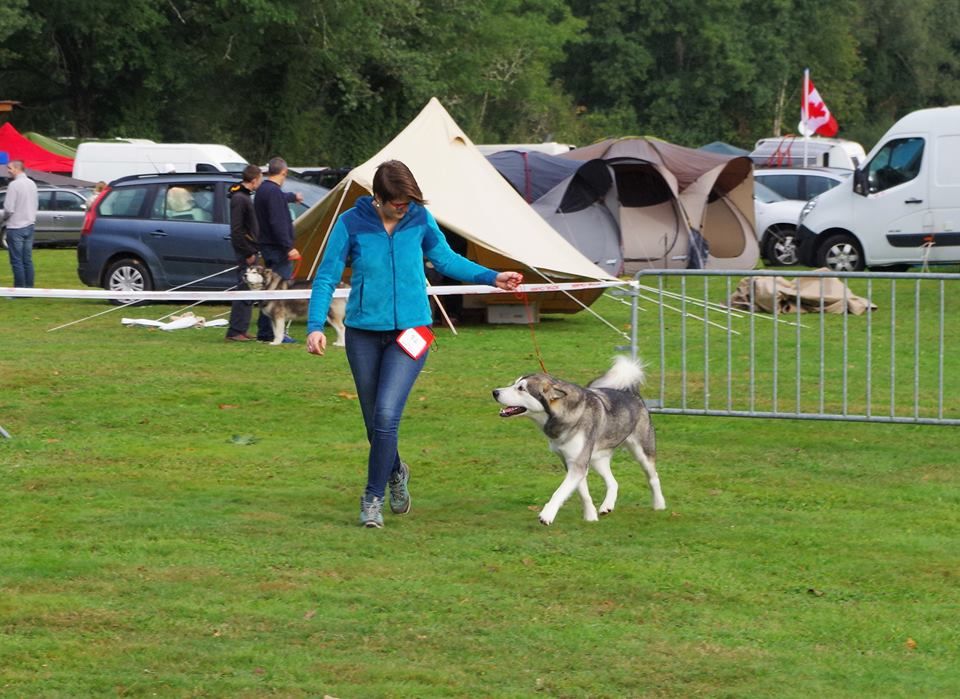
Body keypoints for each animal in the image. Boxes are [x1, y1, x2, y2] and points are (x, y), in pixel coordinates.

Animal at [492, 358, 664, 528]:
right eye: (515, 383)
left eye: (521, 388)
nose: (495, 392)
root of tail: (632, 392)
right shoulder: (571, 463)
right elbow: (583, 493)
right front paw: (590, 516)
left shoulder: (578, 465)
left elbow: (560, 492)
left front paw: (547, 514)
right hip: (597, 459)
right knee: (613, 482)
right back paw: (607, 506)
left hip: (642, 452)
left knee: (653, 477)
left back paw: (659, 504)